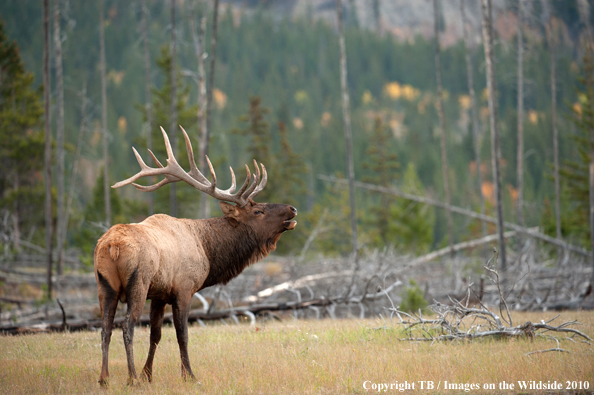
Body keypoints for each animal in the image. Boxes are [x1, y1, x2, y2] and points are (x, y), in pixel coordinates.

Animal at [94, 127, 296, 386]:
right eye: (258, 211)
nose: (292, 209)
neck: (208, 251)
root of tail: (111, 246)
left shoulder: (160, 294)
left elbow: (155, 335)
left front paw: (149, 374)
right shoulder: (184, 289)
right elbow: (183, 335)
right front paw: (188, 375)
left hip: (105, 285)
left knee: (105, 328)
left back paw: (104, 378)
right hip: (137, 283)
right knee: (126, 326)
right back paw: (131, 379)